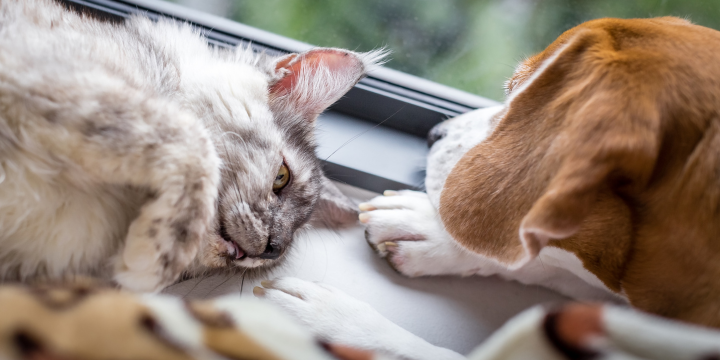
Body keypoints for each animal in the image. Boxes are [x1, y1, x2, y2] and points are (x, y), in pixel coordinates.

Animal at [0, 0, 386, 292]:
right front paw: (151, 261)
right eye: (281, 177)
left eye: (295, 235)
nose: (272, 249)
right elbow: (194, 146)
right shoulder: (50, 73)